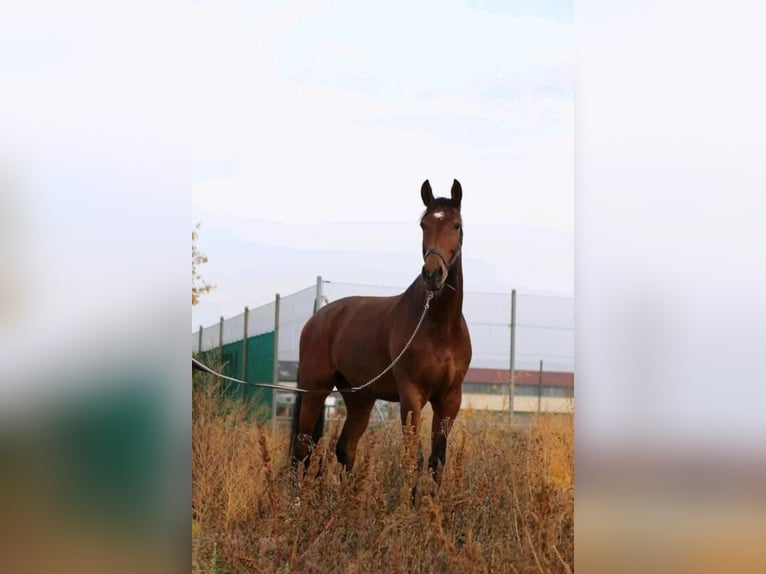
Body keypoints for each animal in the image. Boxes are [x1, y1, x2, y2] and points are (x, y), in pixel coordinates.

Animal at [292, 179, 474, 482]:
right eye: (423, 224)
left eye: (456, 225)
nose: (433, 274)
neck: (441, 327)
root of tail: (317, 319)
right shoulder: (411, 395)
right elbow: (414, 458)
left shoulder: (450, 399)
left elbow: (437, 462)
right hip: (314, 391)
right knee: (302, 450)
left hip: (359, 398)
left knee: (345, 449)